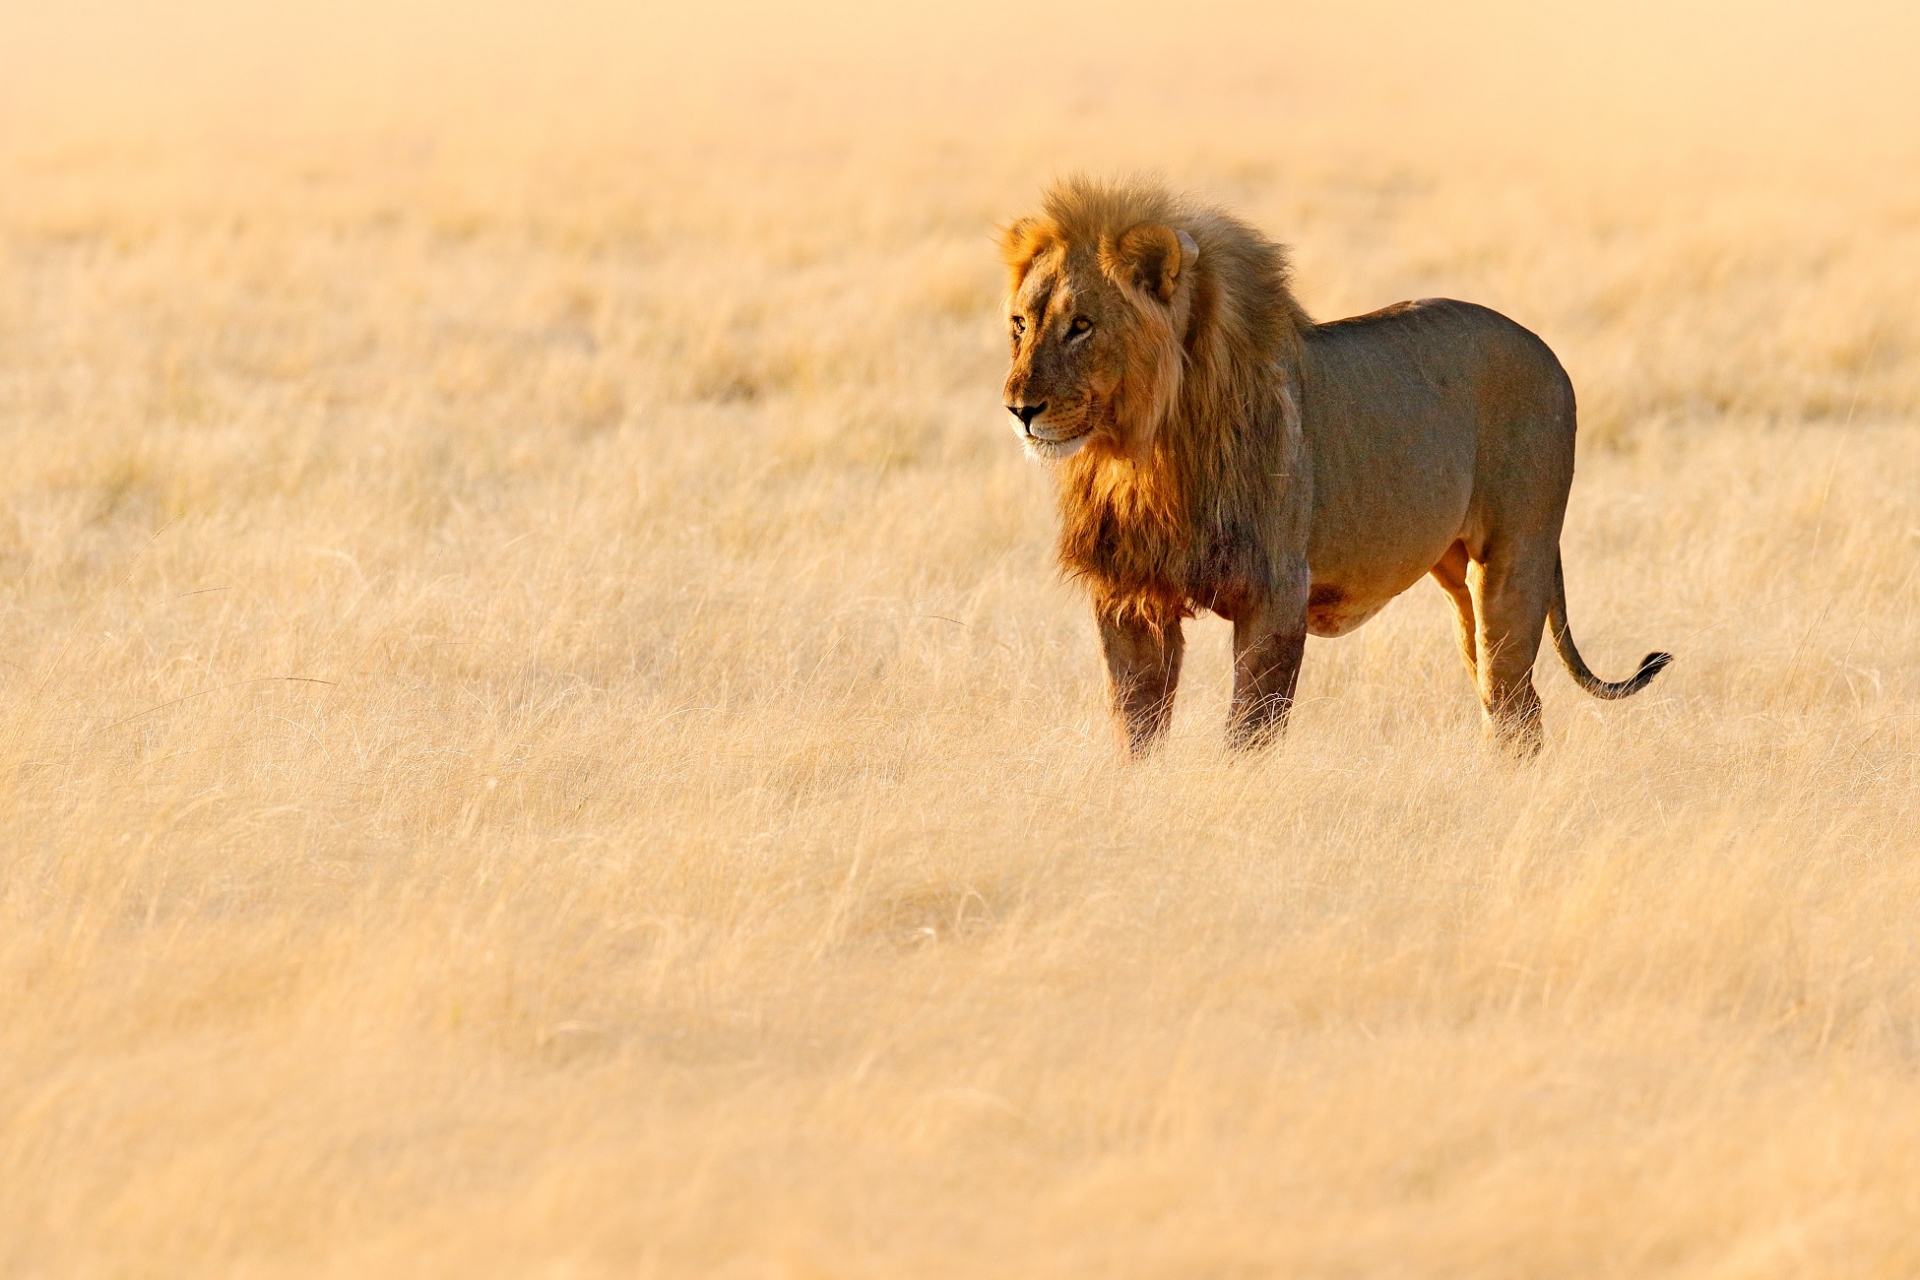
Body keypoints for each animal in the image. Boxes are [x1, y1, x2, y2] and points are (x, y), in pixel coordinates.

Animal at [999, 176, 1670, 755]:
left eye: (1082, 326)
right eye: (1020, 324)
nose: (1018, 409)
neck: (1142, 453)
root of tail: (1546, 351)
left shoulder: (1275, 591)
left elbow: (1249, 734)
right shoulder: (1129, 595)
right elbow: (1135, 729)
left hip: (1514, 560)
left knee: (1509, 701)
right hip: (1456, 574)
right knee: (1512, 701)